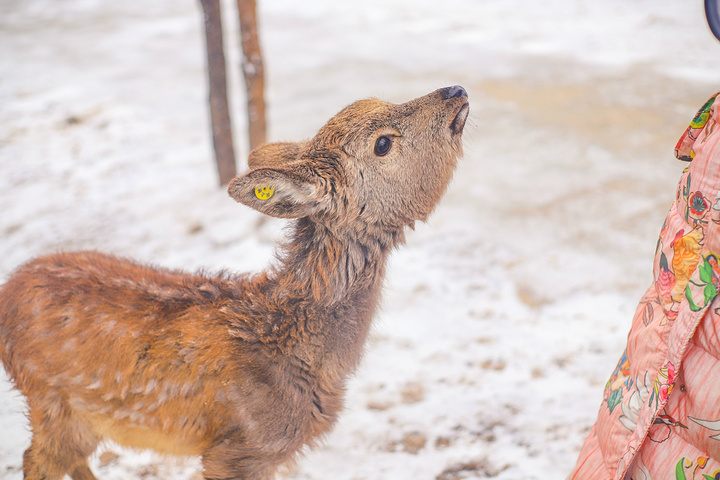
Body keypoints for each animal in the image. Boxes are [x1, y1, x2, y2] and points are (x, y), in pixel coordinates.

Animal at [0, 86, 470, 480]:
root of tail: (9, 289)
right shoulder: (238, 449)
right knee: (38, 459)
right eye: (383, 143)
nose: (455, 90)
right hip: (50, 402)